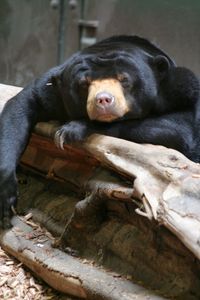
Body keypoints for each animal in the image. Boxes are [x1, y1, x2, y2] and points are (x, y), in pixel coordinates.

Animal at [0, 35, 200, 227]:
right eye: (84, 83)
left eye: (124, 79)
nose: (103, 100)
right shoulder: (51, 90)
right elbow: (21, 106)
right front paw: (6, 200)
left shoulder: (181, 89)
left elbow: (179, 129)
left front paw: (70, 130)